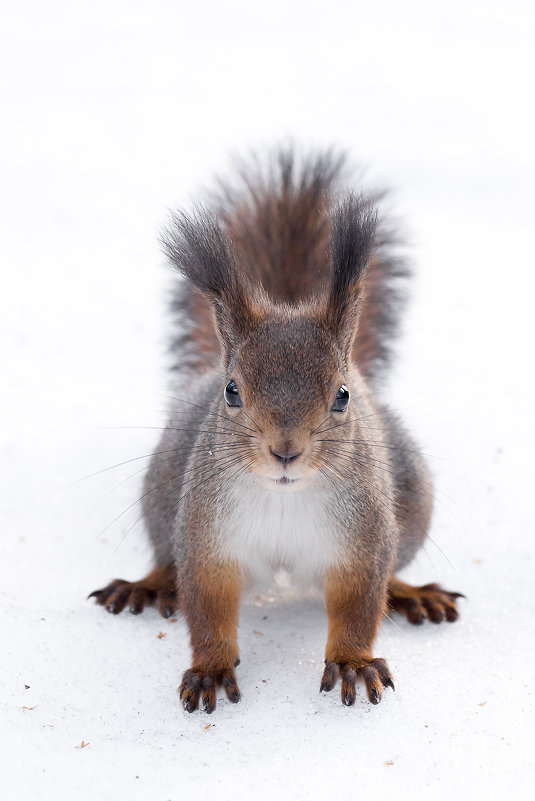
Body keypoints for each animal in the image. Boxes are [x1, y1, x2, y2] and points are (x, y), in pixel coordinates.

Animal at [90, 150, 462, 712]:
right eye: (231, 391)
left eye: (342, 395)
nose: (285, 451)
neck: (285, 495)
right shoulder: (207, 536)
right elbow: (207, 604)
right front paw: (210, 667)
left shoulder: (364, 537)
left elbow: (359, 603)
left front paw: (352, 661)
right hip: (163, 490)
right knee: (166, 555)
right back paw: (148, 583)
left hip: (412, 499)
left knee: (394, 569)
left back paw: (411, 592)